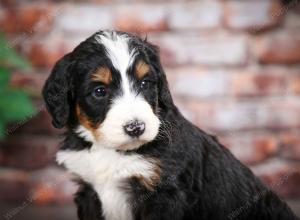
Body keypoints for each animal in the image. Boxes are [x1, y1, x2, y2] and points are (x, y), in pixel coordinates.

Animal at [41, 30, 298, 220]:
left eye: (145, 83)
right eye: (99, 91)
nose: (136, 128)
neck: (113, 152)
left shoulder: (164, 196)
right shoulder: (89, 191)